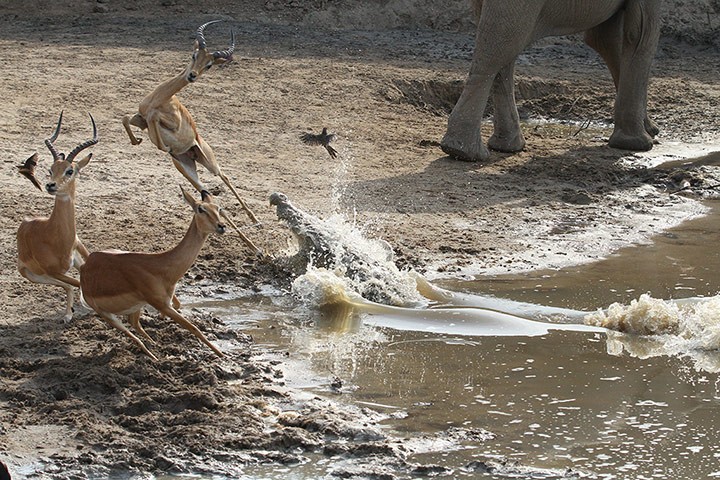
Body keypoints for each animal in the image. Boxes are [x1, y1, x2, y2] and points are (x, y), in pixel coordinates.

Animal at [442, 0, 668, 162]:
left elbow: (605, 38)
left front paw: (650, 129)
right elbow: (640, 32)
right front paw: (639, 143)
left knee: (502, 47)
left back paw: (500, 147)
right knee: (500, 47)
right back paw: (464, 153)